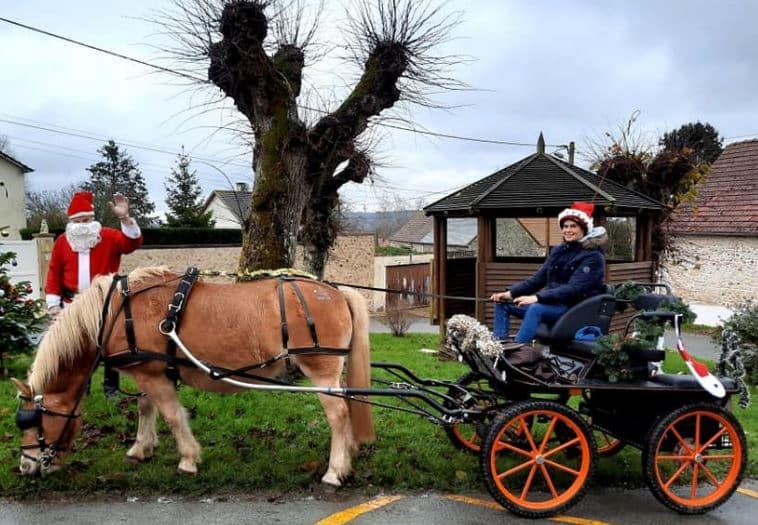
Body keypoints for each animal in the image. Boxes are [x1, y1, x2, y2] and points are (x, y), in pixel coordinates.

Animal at [13, 268, 376, 486]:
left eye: (34, 420)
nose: (26, 467)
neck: (116, 312)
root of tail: (335, 291)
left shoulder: (153, 376)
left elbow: (173, 416)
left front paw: (188, 459)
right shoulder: (148, 371)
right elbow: (146, 409)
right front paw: (141, 448)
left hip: (320, 370)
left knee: (338, 414)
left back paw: (335, 470)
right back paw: (349, 452)